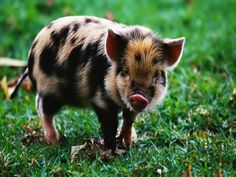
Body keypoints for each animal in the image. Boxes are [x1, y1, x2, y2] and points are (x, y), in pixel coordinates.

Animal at [10, 15, 184, 150]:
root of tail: (31, 55)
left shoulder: (130, 107)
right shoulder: (101, 99)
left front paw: (127, 145)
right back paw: (55, 142)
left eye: (156, 75)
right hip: (50, 89)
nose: (139, 96)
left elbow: (128, 120)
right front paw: (111, 150)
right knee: (42, 107)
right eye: (125, 71)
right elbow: (110, 124)